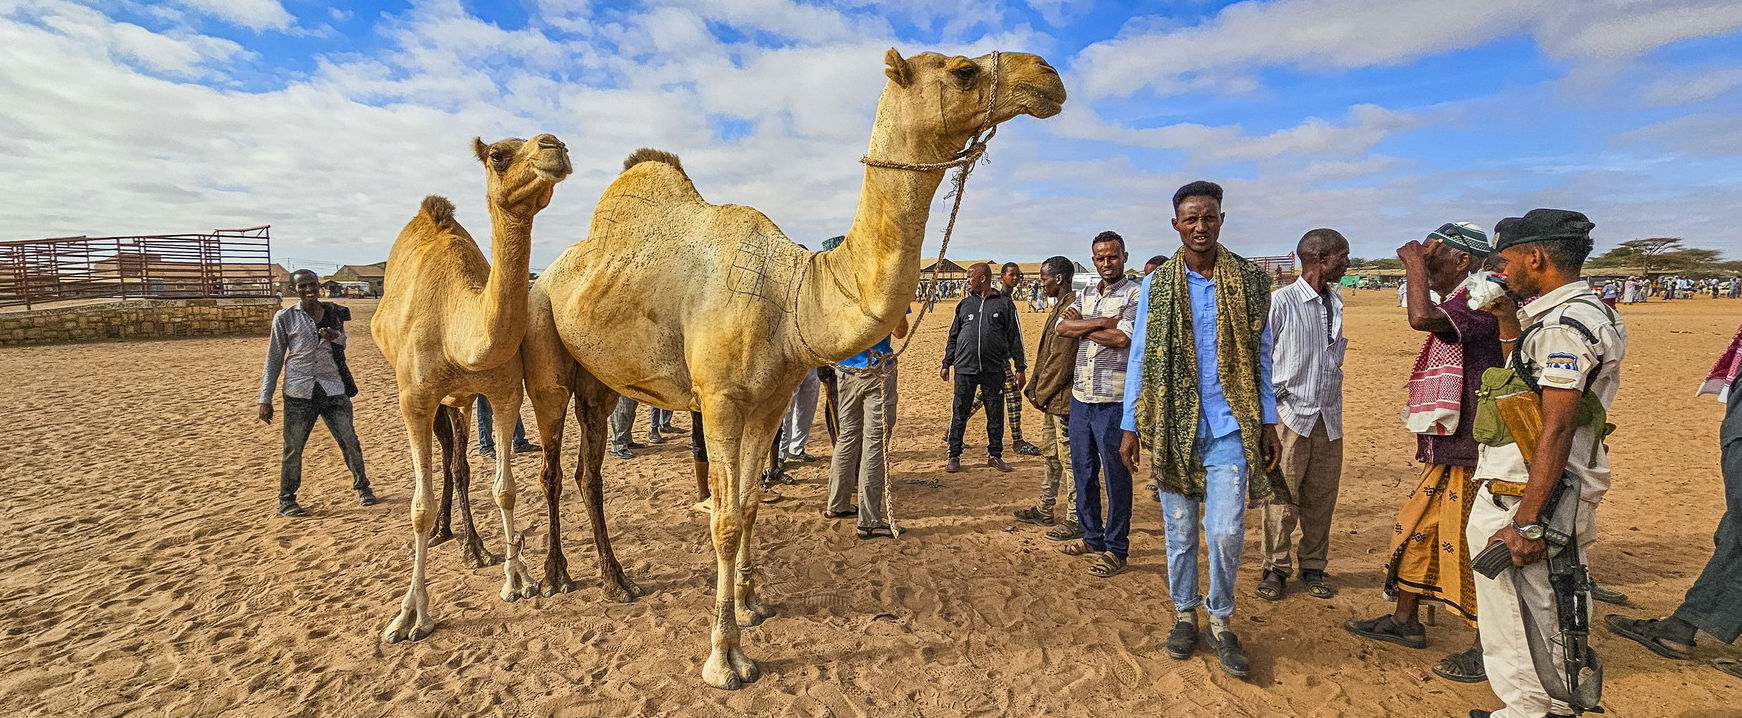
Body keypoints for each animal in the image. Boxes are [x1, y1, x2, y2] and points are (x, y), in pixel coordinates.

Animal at [367, 131, 571, 641]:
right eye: (498, 155)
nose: (554, 145)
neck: (455, 323)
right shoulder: (414, 398)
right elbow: (416, 508)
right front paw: (410, 614)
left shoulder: (503, 392)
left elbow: (505, 489)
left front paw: (518, 579)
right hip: (431, 397)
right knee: (446, 455)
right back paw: (448, 533)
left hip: (460, 400)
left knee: (457, 460)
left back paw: (473, 546)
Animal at [515, 47, 1059, 686]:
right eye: (963, 69)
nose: (1047, 74)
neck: (794, 292)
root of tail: (549, 274)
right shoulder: (721, 401)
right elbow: (725, 520)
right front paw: (725, 657)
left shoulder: (769, 400)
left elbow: (750, 505)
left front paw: (751, 605)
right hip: (545, 350)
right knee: (552, 466)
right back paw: (555, 577)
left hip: (600, 381)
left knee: (589, 472)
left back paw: (617, 580)